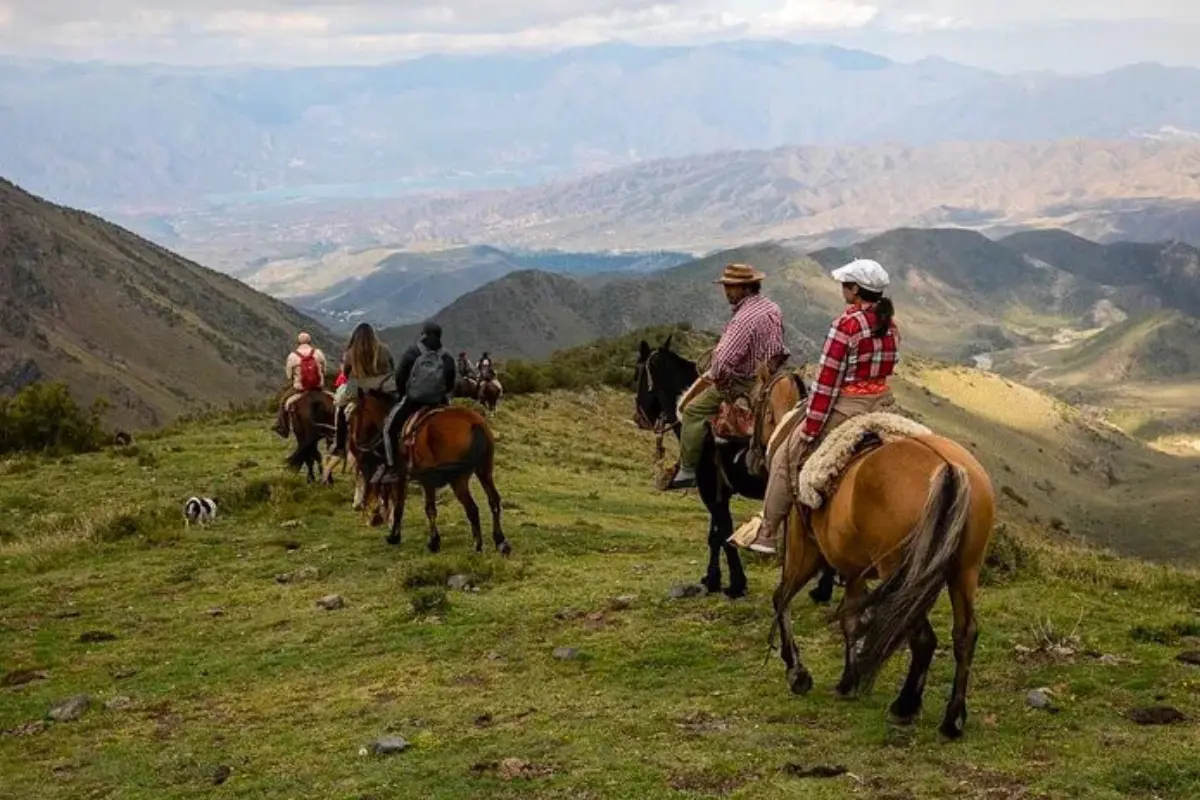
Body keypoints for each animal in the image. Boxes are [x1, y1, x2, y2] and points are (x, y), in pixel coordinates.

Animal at [638, 335, 835, 604]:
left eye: (637, 372)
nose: (639, 417)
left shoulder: (709, 488)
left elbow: (723, 533)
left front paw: (735, 585)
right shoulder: (719, 490)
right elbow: (715, 534)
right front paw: (712, 580)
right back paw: (823, 590)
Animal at [768, 417, 993, 743]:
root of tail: (949, 467)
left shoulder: (806, 549)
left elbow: (784, 599)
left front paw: (801, 673)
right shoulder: (854, 570)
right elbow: (851, 620)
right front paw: (848, 679)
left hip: (899, 570)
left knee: (921, 635)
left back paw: (905, 706)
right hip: (965, 570)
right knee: (965, 634)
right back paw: (953, 720)